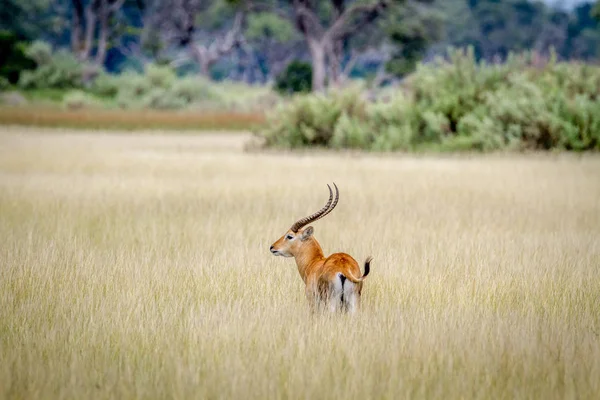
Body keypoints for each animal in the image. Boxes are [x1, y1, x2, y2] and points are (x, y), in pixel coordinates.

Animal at [270, 184, 370, 312]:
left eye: (290, 236)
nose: (272, 247)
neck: (313, 263)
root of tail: (344, 269)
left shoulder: (312, 301)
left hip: (332, 303)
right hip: (353, 303)